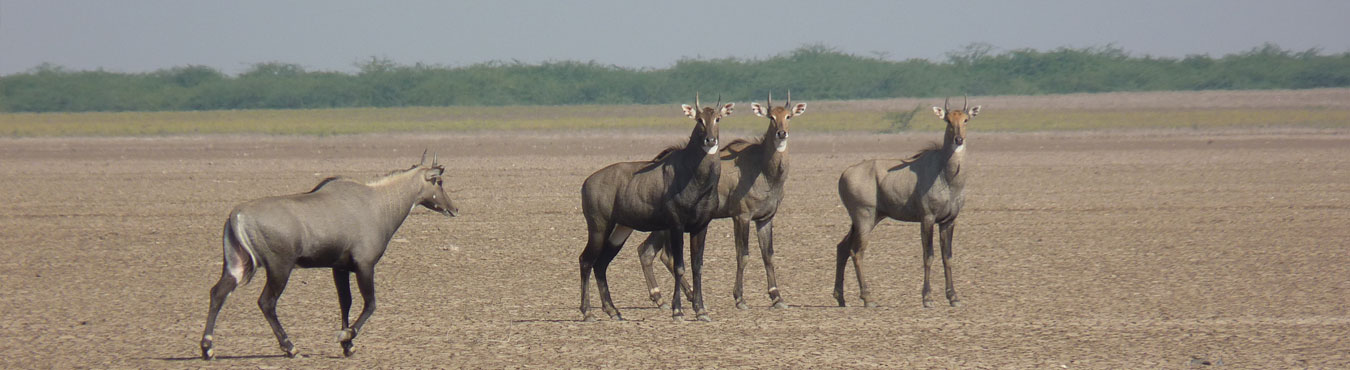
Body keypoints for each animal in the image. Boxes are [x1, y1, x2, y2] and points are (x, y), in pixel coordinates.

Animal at [197, 151, 459, 359]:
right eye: (438, 181)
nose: (454, 208)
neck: (377, 202)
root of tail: (237, 215)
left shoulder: (339, 268)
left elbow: (346, 302)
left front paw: (348, 346)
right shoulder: (364, 265)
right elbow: (370, 303)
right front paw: (346, 336)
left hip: (236, 265)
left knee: (218, 293)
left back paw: (208, 348)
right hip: (279, 269)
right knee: (266, 302)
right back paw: (290, 347)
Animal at [577, 92, 734, 321]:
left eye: (718, 119)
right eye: (699, 120)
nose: (710, 140)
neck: (695, 178)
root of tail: (586, 183)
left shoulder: (701, 226)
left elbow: (697, 267)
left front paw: (701, 310)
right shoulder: (676, 225)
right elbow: (679, 266)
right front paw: (677, 311)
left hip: (621, 229)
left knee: (601, 264)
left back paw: (613, 311)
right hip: (599, 227)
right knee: (586, 260)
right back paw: (588, 312)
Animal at [637, 91, 804, 310]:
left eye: (788, 116)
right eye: (771, 117)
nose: (781, 133)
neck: (764, 170)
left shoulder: (765, 218)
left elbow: (768, 255)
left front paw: (777, 297)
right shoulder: (741, 216)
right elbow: (743, 255)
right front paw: (740, 298)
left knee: (654, 253)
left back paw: (672, 296)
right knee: (655, 253)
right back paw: (671, 297)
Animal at [831, 96, 982, 307]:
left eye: (965, 120)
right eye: (948, 121)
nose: (958, 140)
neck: (947, 175)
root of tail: (845, 174)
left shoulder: (949, 221)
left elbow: (947, 257)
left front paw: (953, 297)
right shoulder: (927, 218)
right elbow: (929, 255)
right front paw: (927, 298)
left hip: (869, 218)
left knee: (843, 247)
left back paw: (841, 297)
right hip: (864, 217)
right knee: (857, 252)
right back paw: (868, 298)